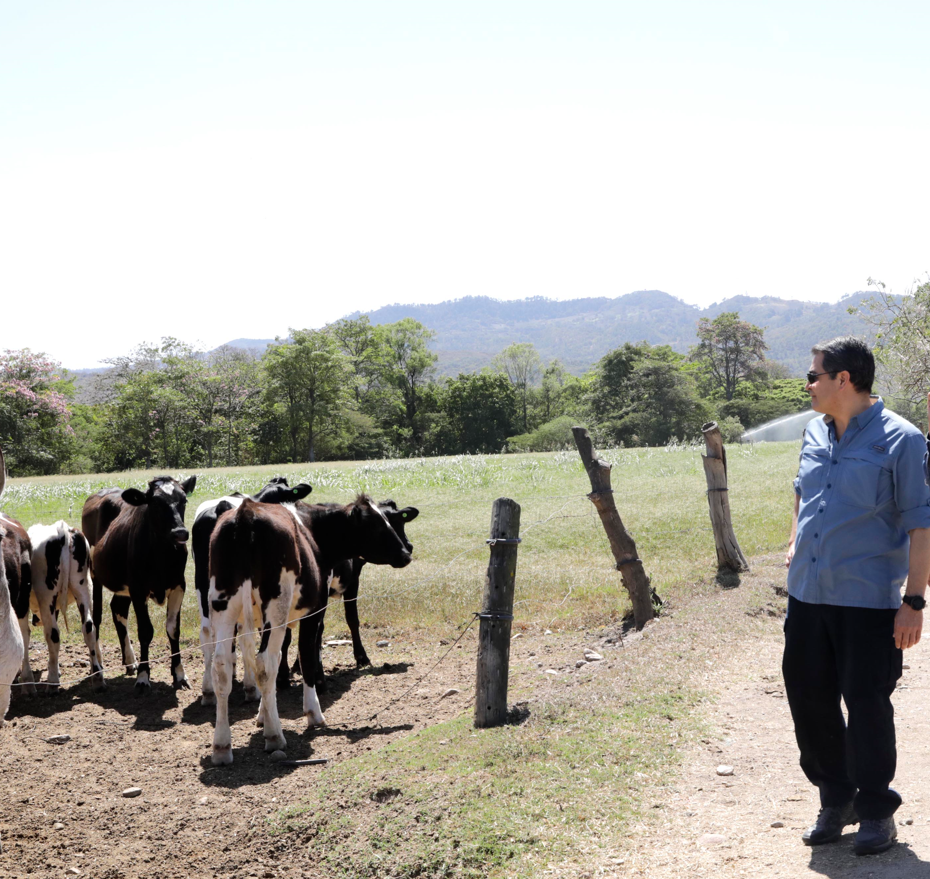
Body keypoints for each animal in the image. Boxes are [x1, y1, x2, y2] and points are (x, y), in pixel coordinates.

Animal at [26, 524, 105, 696]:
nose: (35, 621)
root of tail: (62, 530)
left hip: (47, 596)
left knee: (53, 635)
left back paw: (53, 683)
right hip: (83, 588)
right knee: (89, 628)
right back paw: (97, 677)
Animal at [81, 474, 196, 696]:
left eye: (184, 500)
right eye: (156, 503)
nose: (180, 533)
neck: (162, 555)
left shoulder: (179, 586)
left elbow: (173, 629)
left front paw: (179, 674)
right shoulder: (138, 589)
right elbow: (145, 631)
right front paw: (144, 677)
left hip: (123, 585)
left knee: (117, 609)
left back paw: (129, 660)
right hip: (95, 576)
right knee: (96, 618)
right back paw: (97, 667)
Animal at [210, 496, 414, 764]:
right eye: (380, 525)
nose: (406, 553)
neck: (314, 530)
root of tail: (246, 512)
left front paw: (263, 714)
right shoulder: (314, 610)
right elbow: (307, 654)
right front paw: (313, 712)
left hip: (224, 608)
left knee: (222, 667)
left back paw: (222, 746)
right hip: (275, 608)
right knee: (265, 663)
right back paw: (275, 736)